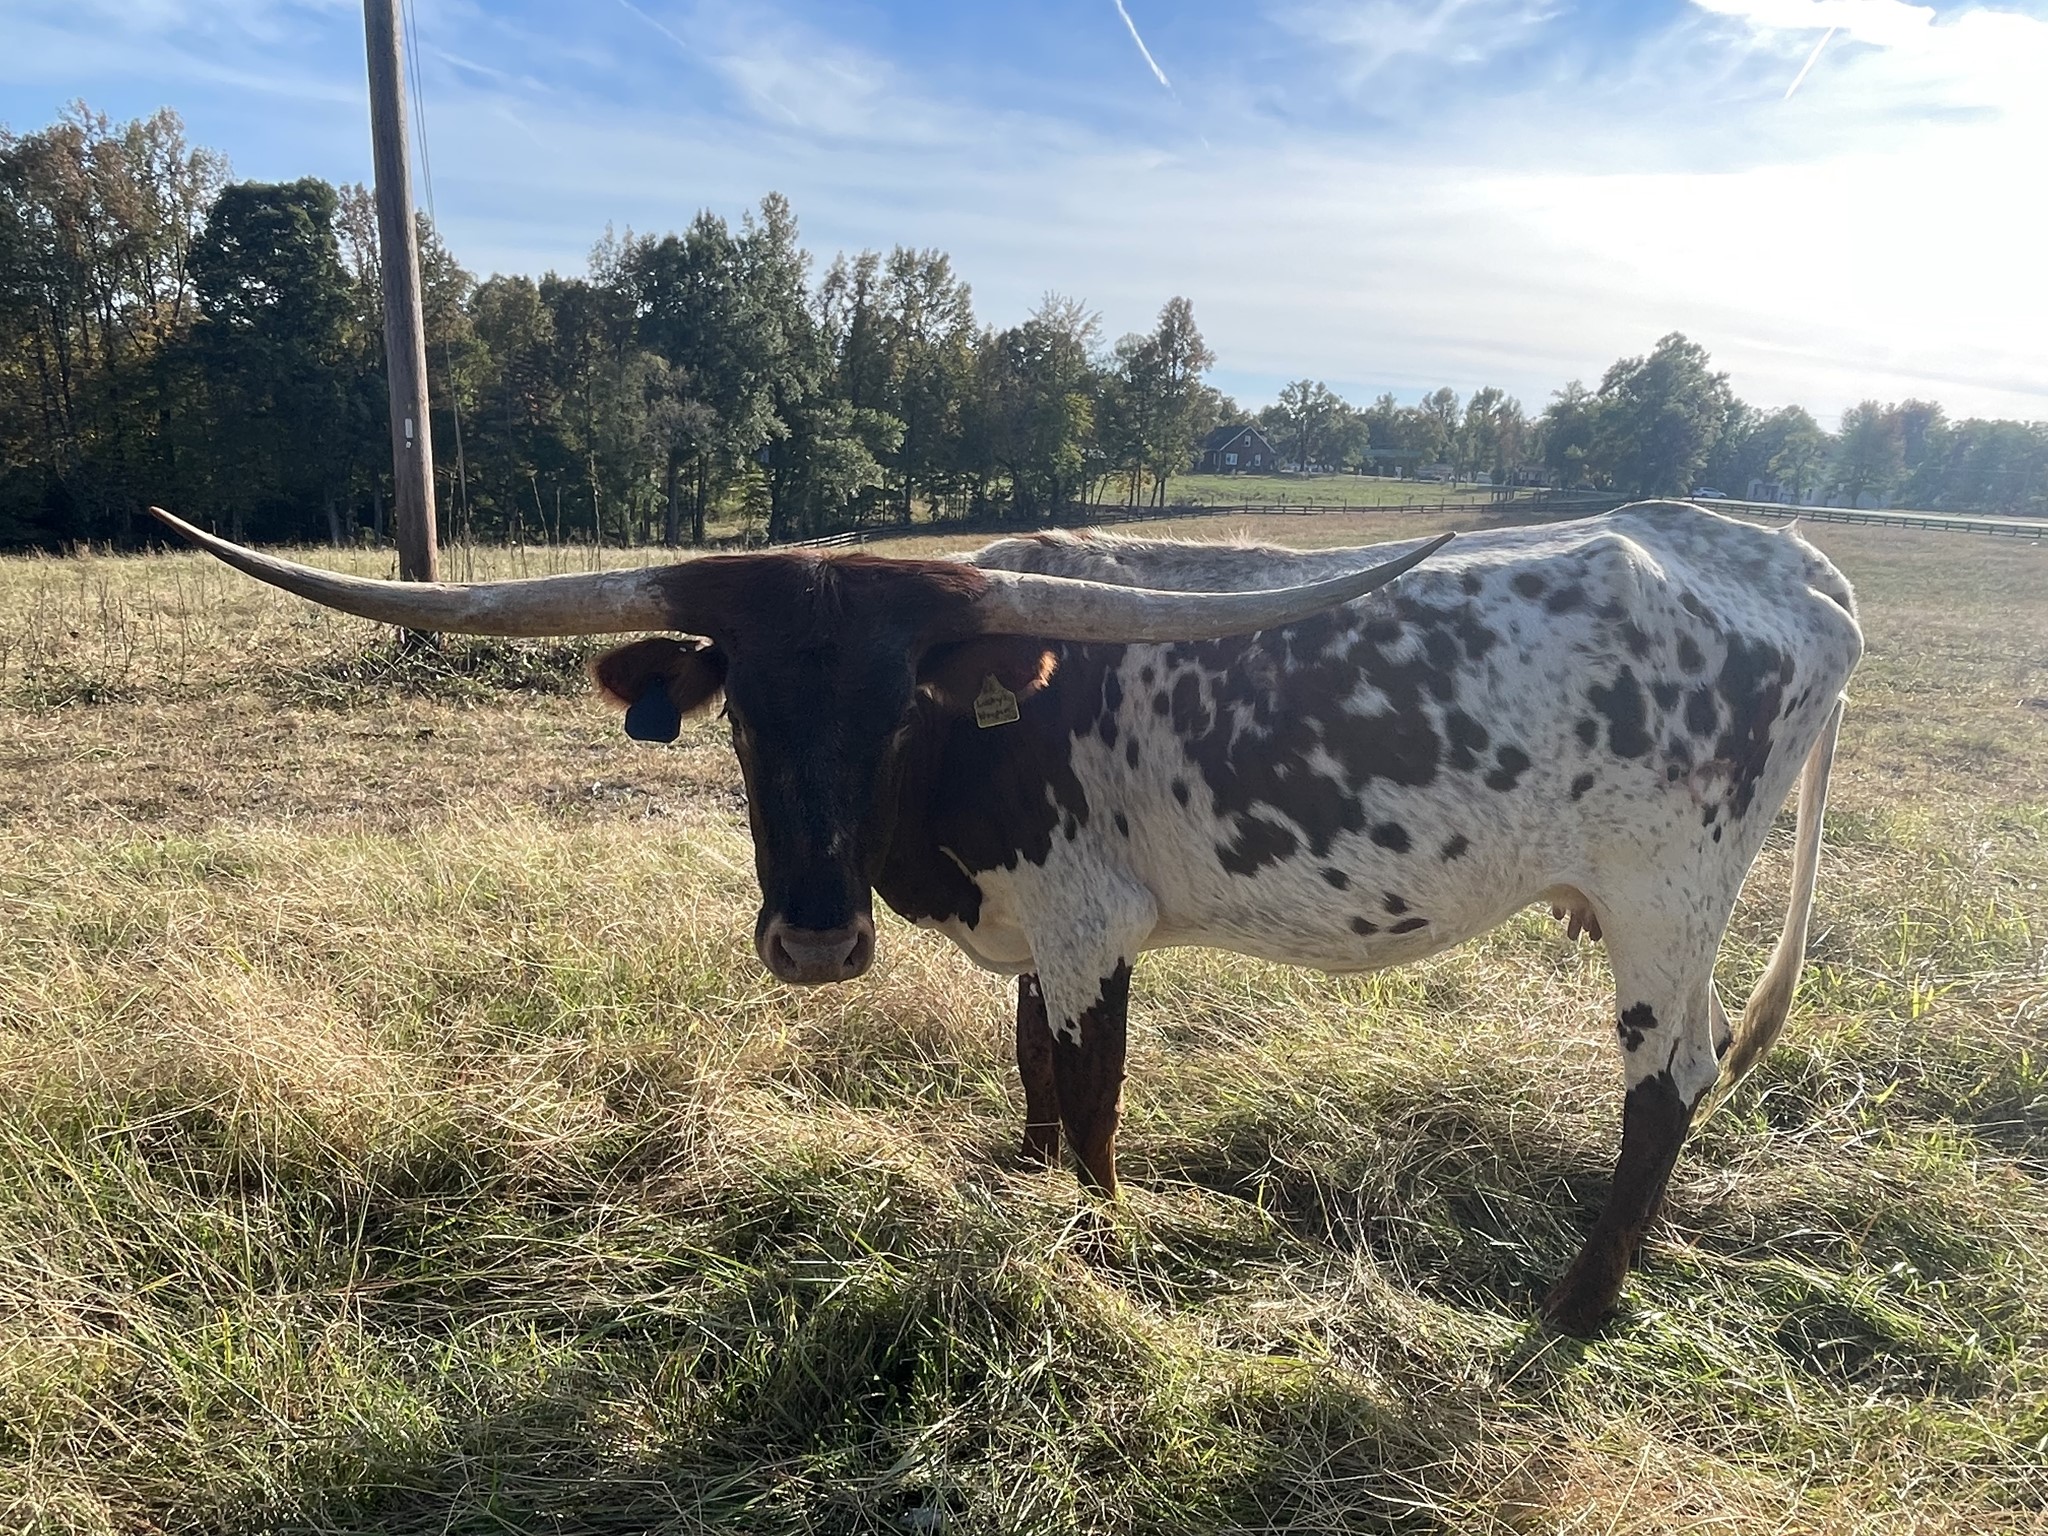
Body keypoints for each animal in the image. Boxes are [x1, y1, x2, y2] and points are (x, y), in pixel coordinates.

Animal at [146, 500, 1862, 1334]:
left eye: (897, 704)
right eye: (742, 712)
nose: (816, 942)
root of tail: (1782, 561)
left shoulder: (1092, 928)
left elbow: (1092, 1105)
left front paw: (1090, 1248)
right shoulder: (1034, 939)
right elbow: (1030, 1080)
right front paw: (1021, 1201)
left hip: (1666, 902)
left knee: (1667, 1083)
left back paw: (1580, 1304)